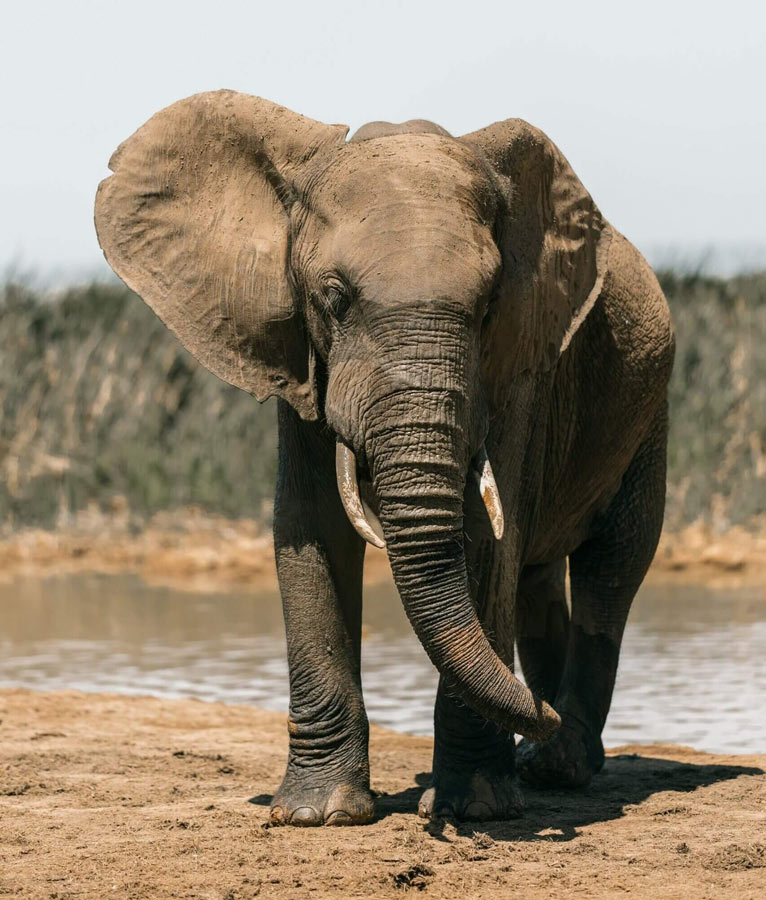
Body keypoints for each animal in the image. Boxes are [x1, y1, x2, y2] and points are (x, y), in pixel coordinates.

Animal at [94, 90, 674, 826]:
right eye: (333, 298)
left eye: (489, 306)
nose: (534, 713)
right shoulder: (301, 356)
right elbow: (311, 527)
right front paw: (318, 816)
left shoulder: (518, 365)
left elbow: (489, 539)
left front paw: (475, 809)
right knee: (540, 575)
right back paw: (542, 755)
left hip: (650, 409)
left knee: (613, 565)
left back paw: (557, 763)